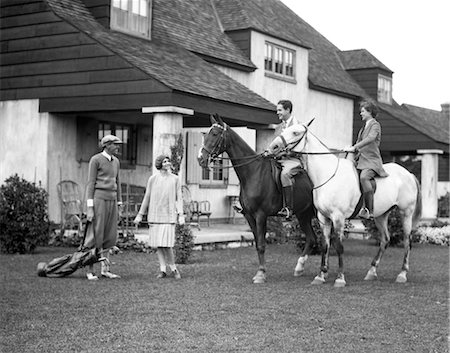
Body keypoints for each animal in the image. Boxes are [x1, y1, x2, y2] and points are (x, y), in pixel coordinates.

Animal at [197, 115, 316, 284]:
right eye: (206, 133)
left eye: (214, 134)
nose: (201, 158)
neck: (253, 172)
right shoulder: (249, 216)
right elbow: (257, 244)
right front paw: (261, 271)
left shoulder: (261, 215)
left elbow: (261, 244)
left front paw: (260, 274)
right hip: (303, 214)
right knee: (312, 239)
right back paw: (300, 269)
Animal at [266, 123, 420, 286]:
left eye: (295, 132)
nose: (273, 147)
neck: (327, 175)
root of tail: (409, 174)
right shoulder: (323, 218)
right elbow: (325, 244)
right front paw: (320, 276)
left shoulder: (338, 217)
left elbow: (339, 246)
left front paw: (340, 278)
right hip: (381, 215)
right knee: (385, 240)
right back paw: (371, 272)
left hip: (406, 213)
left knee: (407, 241)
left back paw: (402, 274)